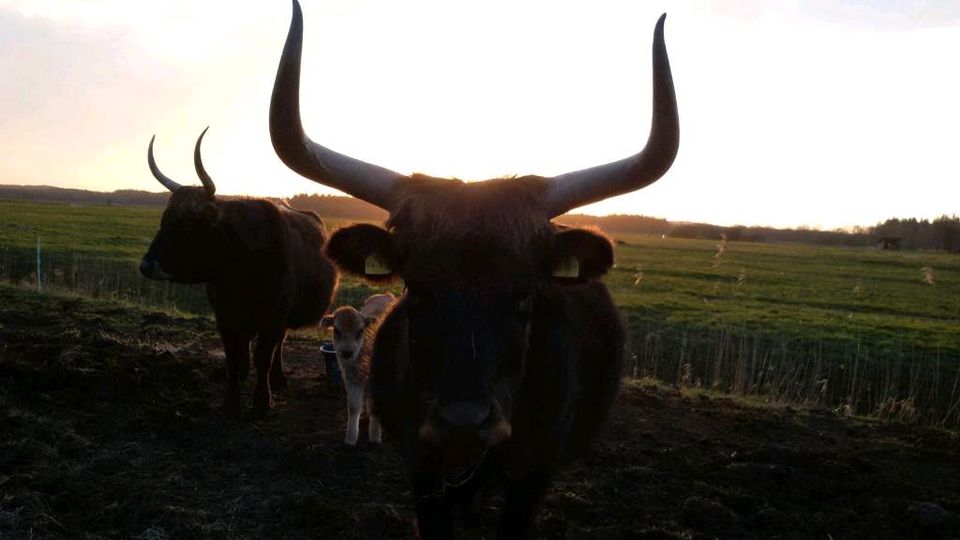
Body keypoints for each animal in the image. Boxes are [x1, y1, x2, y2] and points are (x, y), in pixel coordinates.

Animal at [139, 129, 340, 416]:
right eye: (163, 220)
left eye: (189, 224)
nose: (146, 265)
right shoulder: (225, 316)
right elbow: (234, 359)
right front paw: (231, 402)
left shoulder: (273, 316)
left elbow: (263, 357)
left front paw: (262, 402)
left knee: (279, 344)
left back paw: (278, 379)